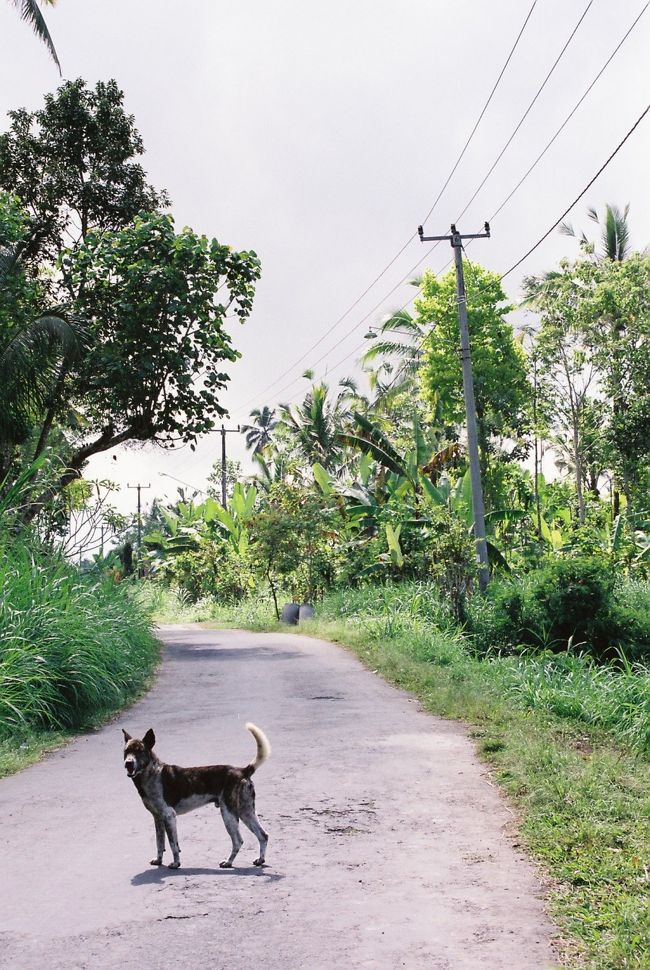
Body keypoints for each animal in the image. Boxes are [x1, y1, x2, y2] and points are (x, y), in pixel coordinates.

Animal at [121, 720, 268, 868]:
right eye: (126, 751)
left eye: (140, 751)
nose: (128, 763)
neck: (151, 773)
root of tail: (243, 771)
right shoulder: (158, 818)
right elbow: (160, 843)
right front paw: (158, 860)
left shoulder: (169, 816)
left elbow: (173, 844)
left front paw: (176, 863)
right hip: (246, 812)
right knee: (263, 835)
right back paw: (260, 860)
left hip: (228, 814)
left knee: (238, 841)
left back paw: (228, 862)